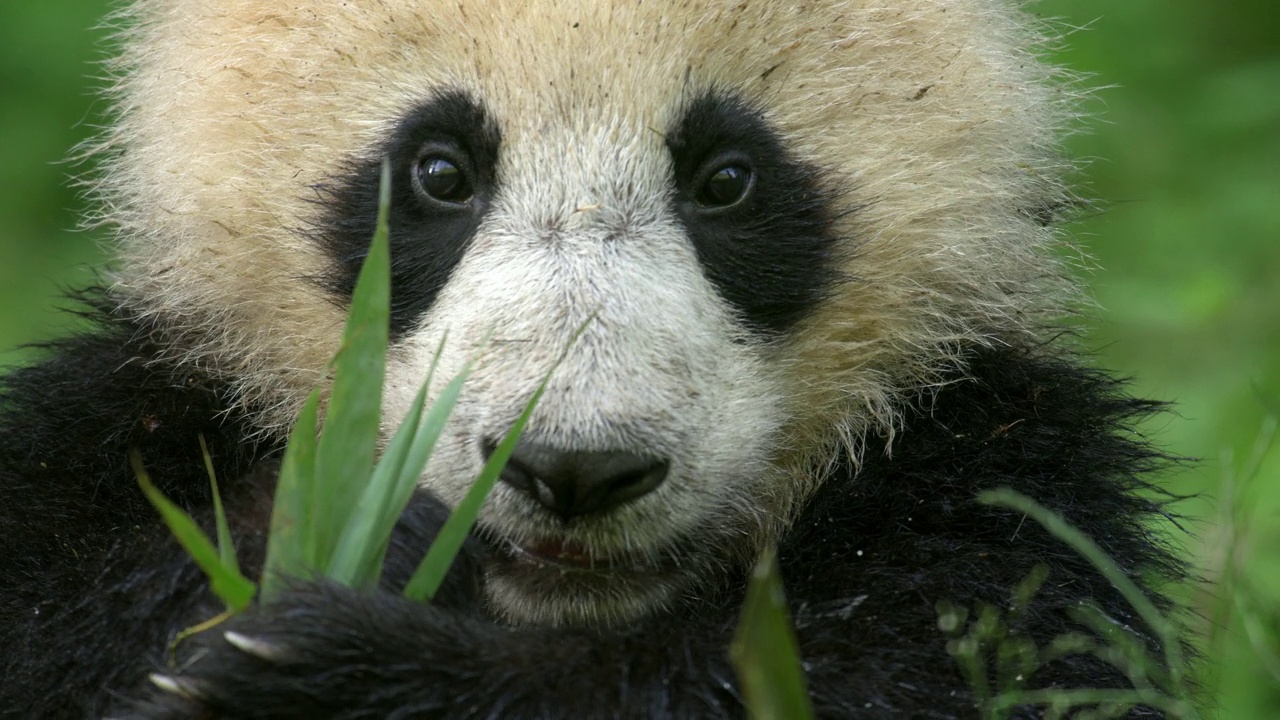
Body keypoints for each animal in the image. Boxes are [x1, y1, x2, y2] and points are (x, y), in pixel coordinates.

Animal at [0, 1, 1187, 717]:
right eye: (439, 170)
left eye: (727, 180)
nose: (575, 470)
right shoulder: (119, 436)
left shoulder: (995, 471)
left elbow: (956, 665)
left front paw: (323, 663)